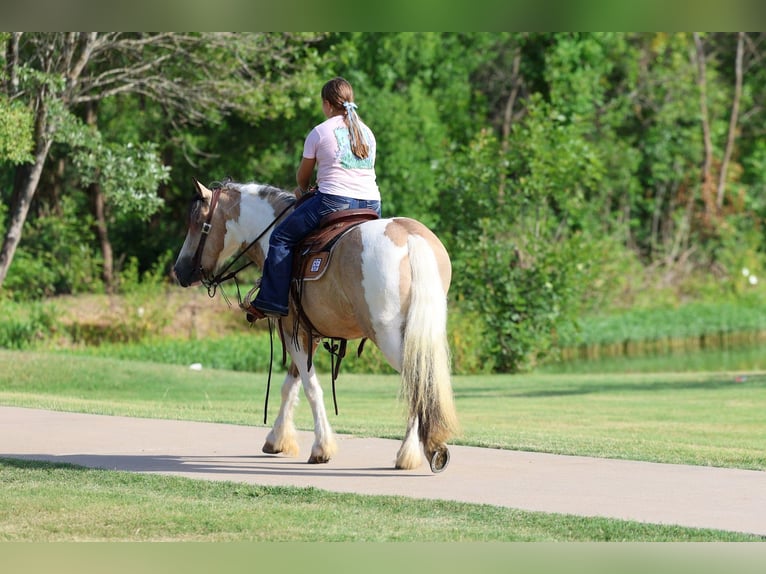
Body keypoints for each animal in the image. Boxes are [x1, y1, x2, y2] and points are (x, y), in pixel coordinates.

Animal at [173, 179, 459, 472]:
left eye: (198, 223)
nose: (179, 271)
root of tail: (409, 236)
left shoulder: (292, 331)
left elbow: (310, 388)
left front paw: (321, 447)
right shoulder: (307, 334)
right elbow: (291, 385)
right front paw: (277, 439)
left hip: (388, 335)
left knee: (417, 382)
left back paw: (411, 453)